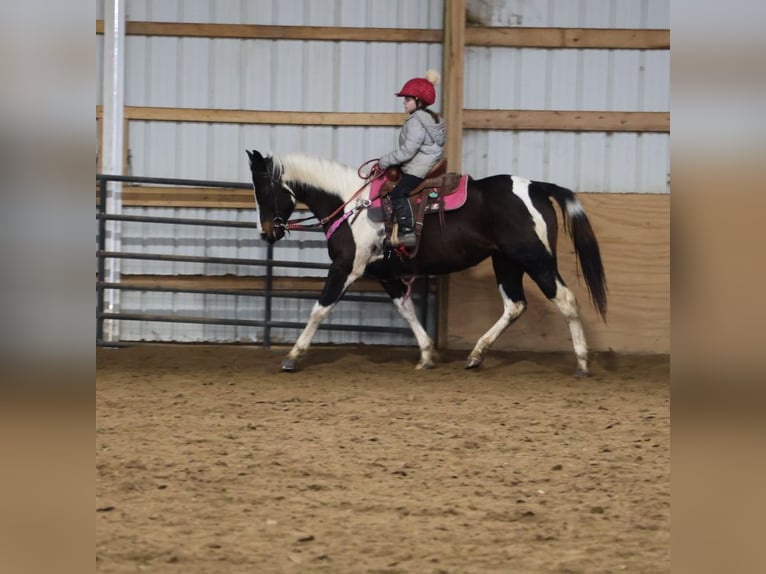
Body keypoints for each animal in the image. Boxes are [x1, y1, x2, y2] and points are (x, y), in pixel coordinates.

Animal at [246, 149, 607, 376]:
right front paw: (427, 355)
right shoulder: (385, 273)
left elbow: (320, 309)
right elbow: (406, 309)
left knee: (565, 299)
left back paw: (582, 363)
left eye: (263, 191)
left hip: (535, 258)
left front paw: (292, 357)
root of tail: (537, 188)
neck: (351, 206)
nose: (266, 232)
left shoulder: (346, 268)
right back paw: (476, 355)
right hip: (506, 262)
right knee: (515, 305)